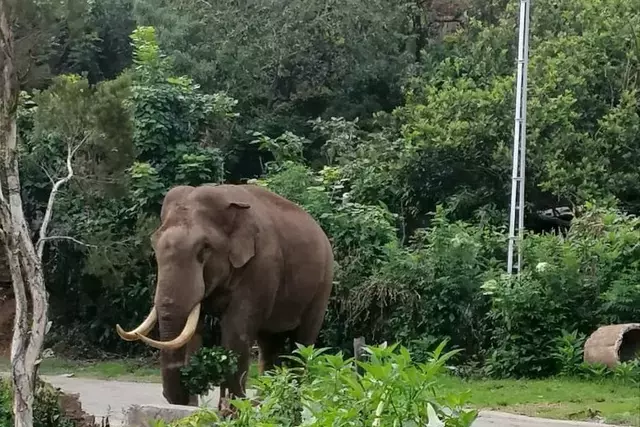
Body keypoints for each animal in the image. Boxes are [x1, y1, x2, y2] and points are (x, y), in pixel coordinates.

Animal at [115, 184, 336, 408]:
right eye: (154, 245)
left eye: (204, 249)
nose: (182, 398)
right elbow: (194, 329)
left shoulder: (261, 266)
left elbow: (235, 331)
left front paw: (232, 410)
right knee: (269, 344)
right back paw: (265, 402)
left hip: (322, 286)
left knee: (302, 343)